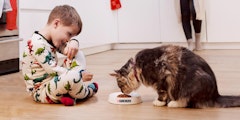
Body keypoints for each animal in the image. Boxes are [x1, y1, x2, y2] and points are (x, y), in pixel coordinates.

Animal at [111, 44, 240, 108]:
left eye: (120, 84)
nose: (122, 91)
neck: (137, 67)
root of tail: (216, 95)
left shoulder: (162, 78)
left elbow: (162, 93)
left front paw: (159, 102)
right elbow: (166, 94)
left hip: (195, 82)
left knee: (187, 102)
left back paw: (174, 103)